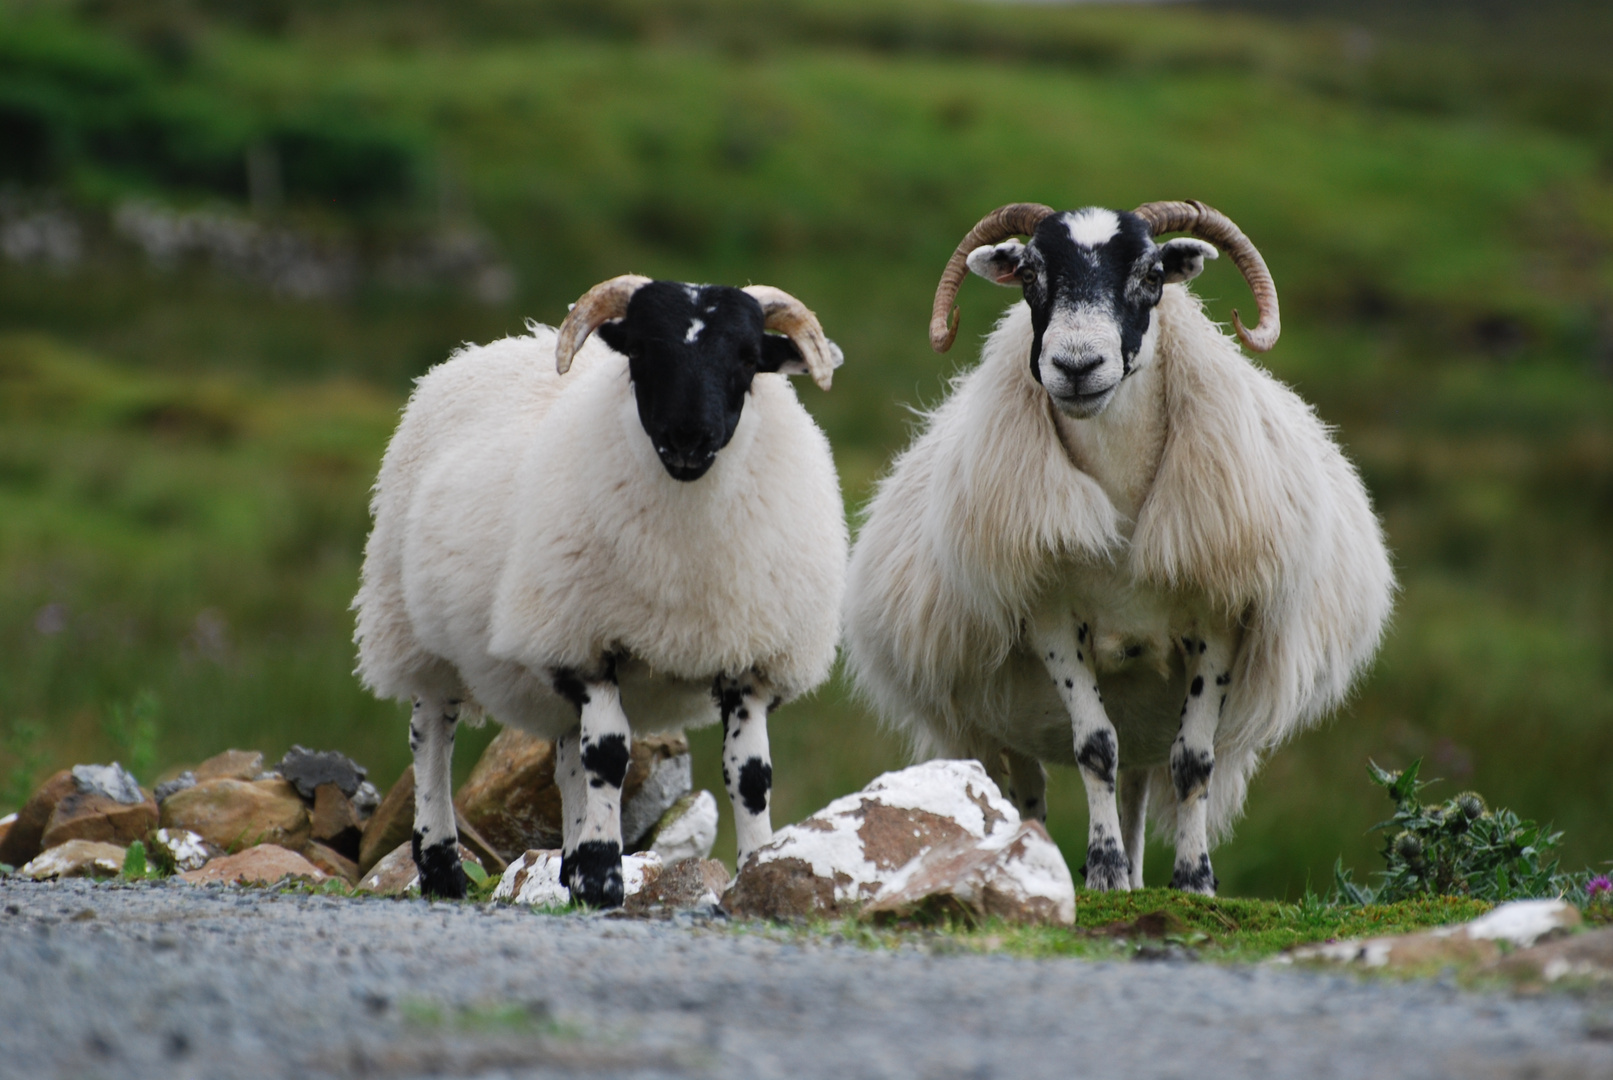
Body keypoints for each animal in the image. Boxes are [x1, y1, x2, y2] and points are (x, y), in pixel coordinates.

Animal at [358, 275, 851, 909]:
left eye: (748, 357)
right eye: (639, 350)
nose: (688, 437)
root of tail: (476, 352)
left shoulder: (751, 658)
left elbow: (750, 774)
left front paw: (756, 868)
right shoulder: (586, 642)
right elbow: (611, 755)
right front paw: (601, 876)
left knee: (568, 755)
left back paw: (564, 862)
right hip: (417, 629)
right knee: (431, 737)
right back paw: (442, 867)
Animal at [851, 203, 1393, 896]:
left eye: (1152, 274)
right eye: (1029, 274)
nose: (1077, 365)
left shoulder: (1219, 618)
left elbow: (1193, 762)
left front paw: (1193, 880)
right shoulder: (1052, 616)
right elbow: (1093, 749)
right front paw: (1103, 871)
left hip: (1145, 709)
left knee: (1136, 783)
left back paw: (1138, 875)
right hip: (996, 720)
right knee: (1028, 788)